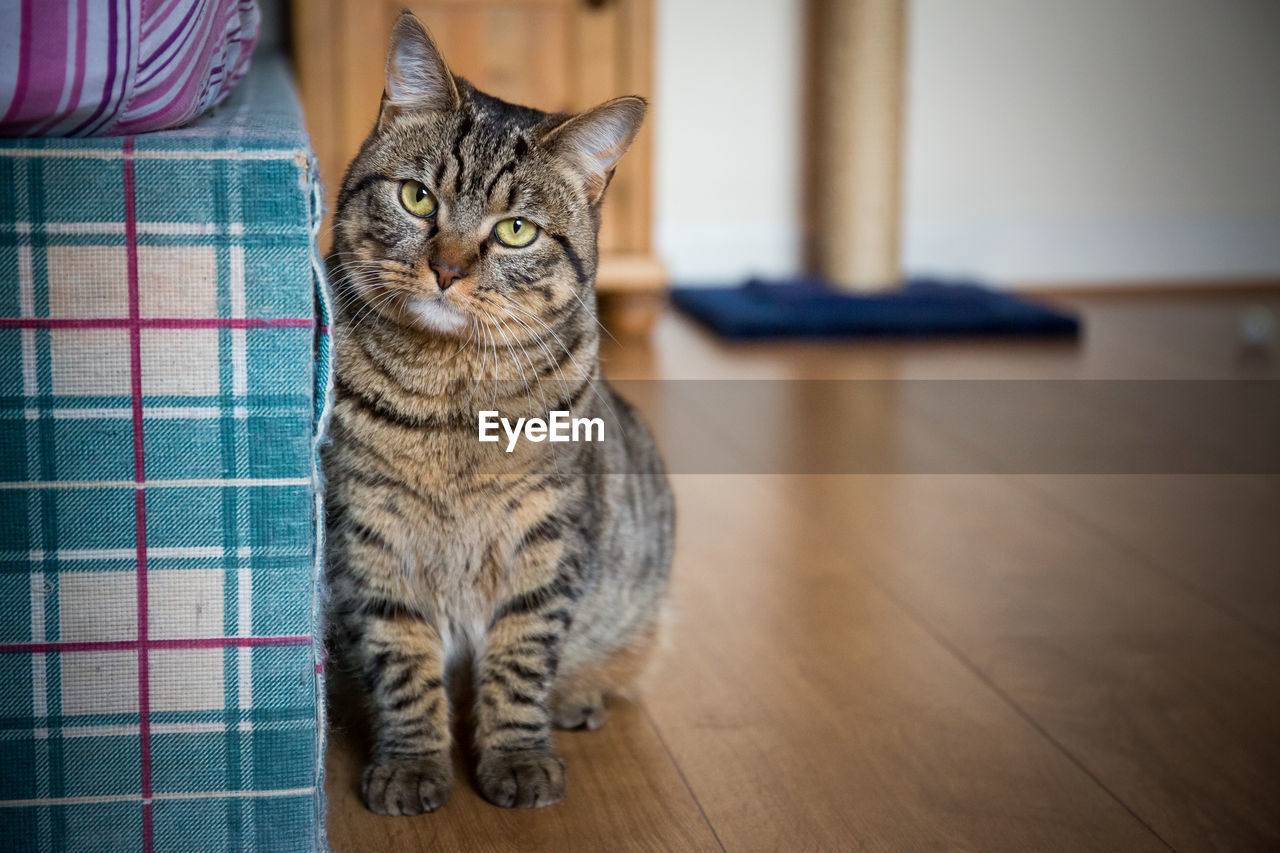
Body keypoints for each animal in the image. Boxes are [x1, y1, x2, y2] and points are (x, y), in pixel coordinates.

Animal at [320, 11, 675, 809]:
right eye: (417, 198)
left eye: (516, 230)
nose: (447, 269)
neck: (452, 394)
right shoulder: (369, 537)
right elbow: (403, 663)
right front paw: (412, 764)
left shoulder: (545, 537)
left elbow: (520, 660)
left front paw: (517, 757)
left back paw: (576, 696)